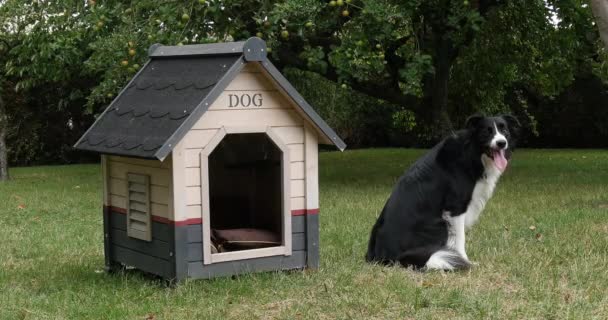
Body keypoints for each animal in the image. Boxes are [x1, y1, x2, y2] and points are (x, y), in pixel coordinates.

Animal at [366, 115, 516, 270]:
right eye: (487, 131)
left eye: (504, 130)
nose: (501, 143)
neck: (471, 153)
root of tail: (388, 256)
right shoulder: (455, 207)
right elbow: (459, 239)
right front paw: (465, 260)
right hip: (440, 224)